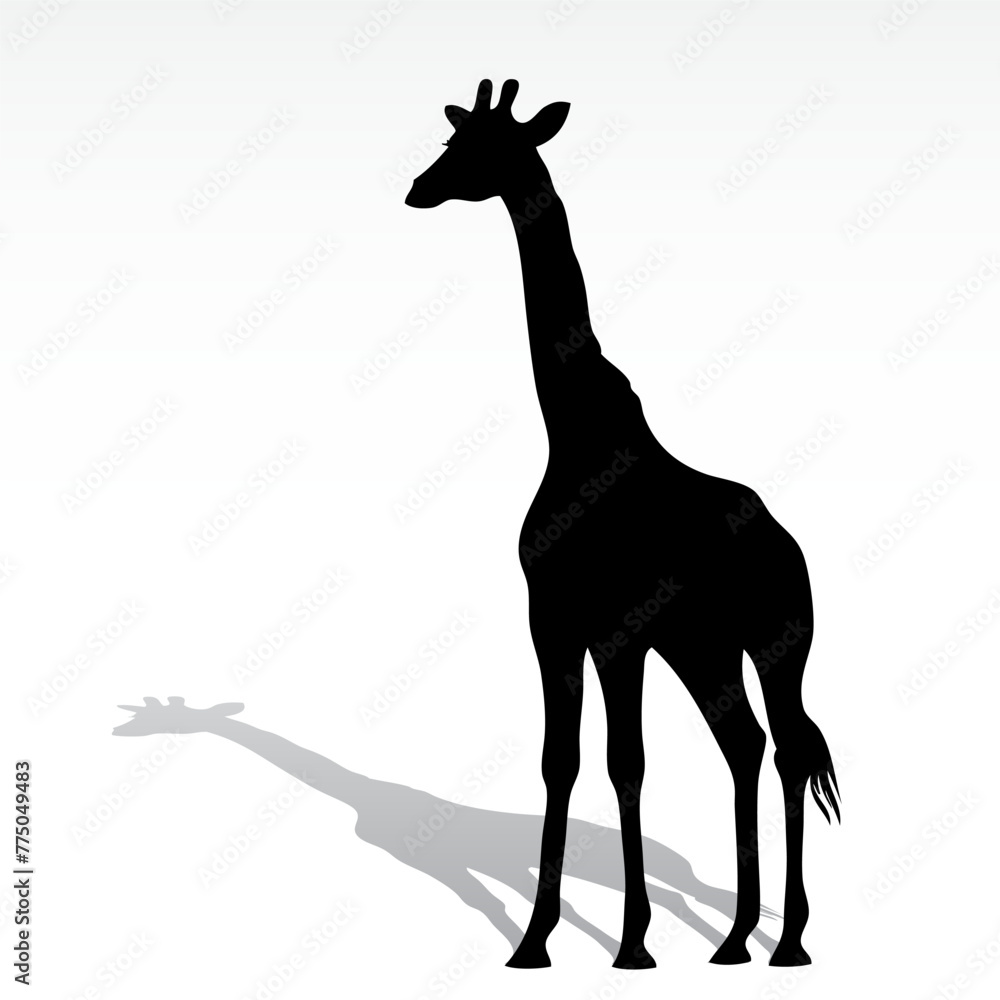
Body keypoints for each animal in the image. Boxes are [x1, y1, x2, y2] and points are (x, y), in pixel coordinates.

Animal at [405, 79, 840, 971]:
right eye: (452, 140)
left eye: (484, 148)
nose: (416, 189)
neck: (574, 438)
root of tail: (790, 544)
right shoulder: (552, 620)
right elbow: (560, 762)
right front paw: (534, 939)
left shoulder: (618, 630)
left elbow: (625, 765)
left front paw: (633, 941)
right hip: (704, 648)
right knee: (745, 745)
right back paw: (734, 939)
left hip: (778, 643)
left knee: (787, 749)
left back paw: (788, 941)